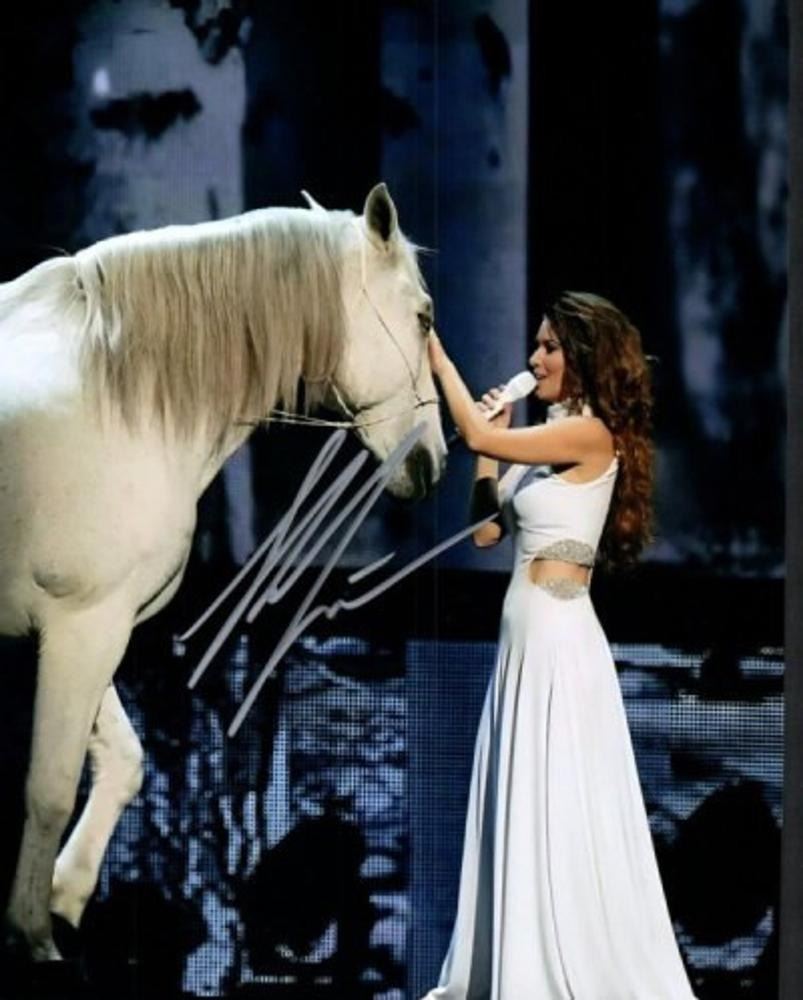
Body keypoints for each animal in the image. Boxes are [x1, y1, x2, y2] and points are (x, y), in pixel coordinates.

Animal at [0, 182, 446, 961]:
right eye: (421, 317)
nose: (434, 462)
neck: (115, 394)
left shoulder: (79, 630)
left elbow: (123, 761)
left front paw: (65, 897)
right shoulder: (84, 626)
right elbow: (50, 788)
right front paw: (34, 938)